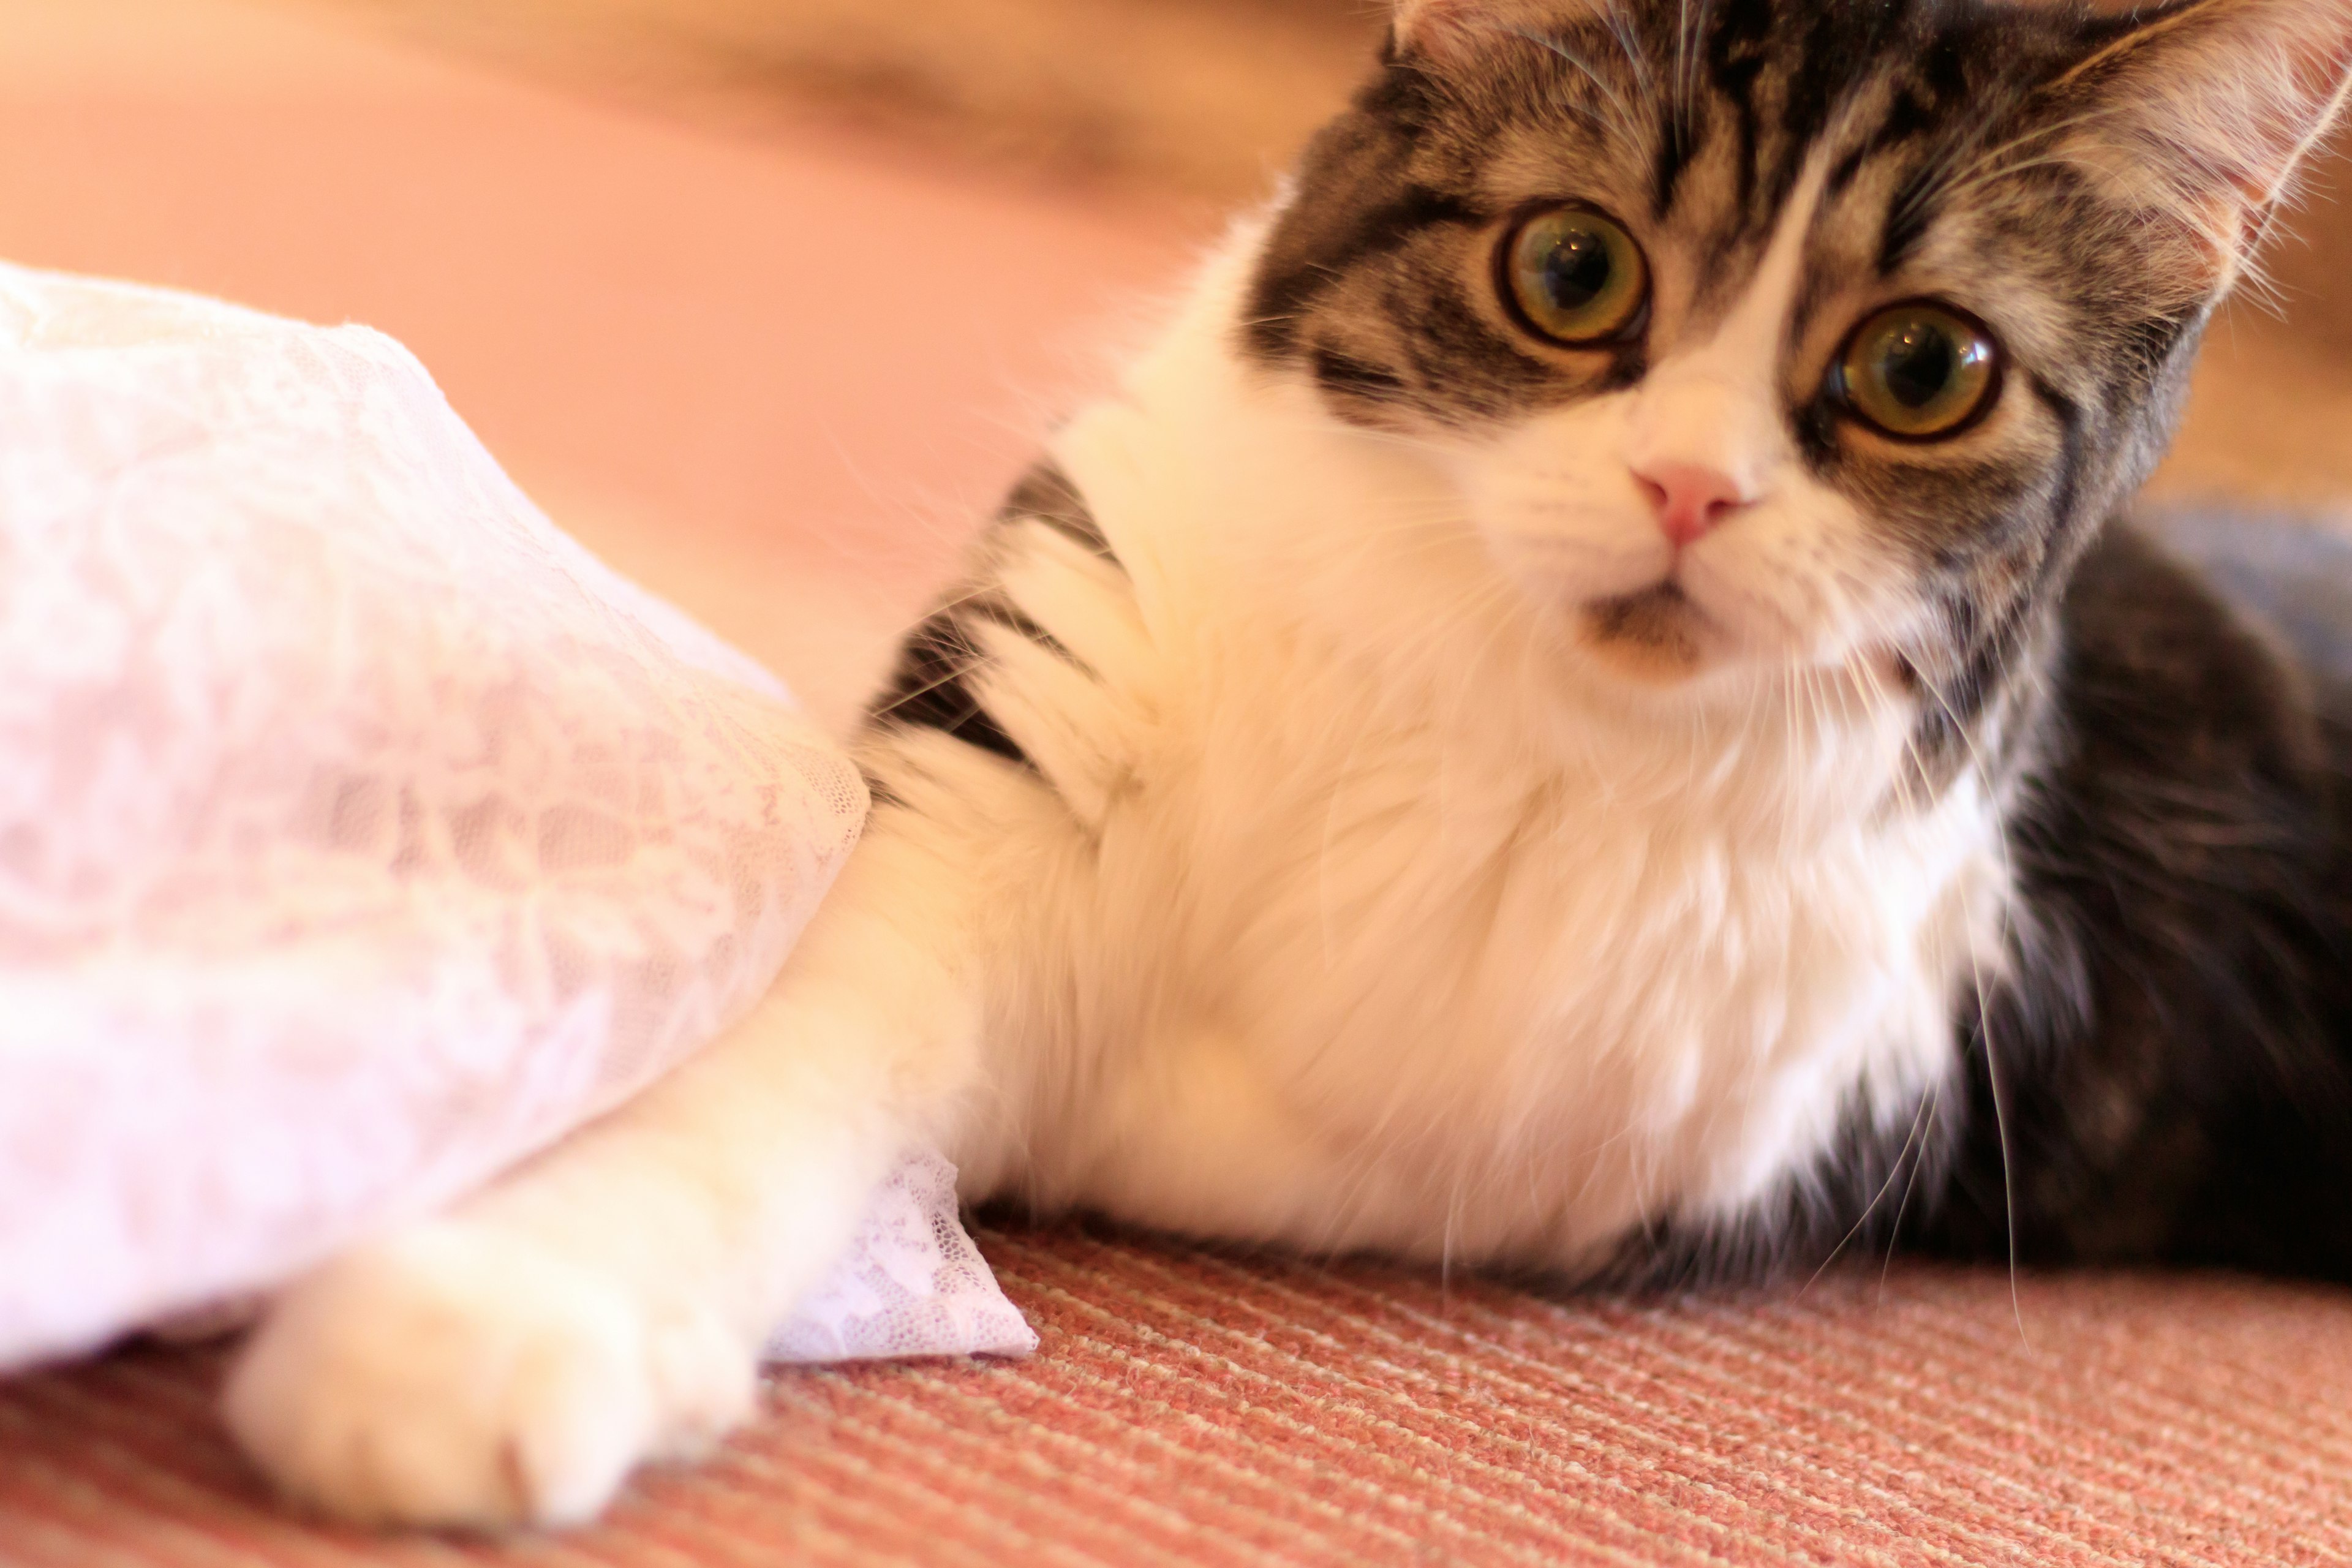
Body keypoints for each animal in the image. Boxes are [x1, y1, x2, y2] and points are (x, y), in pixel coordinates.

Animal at [216, 0, 2352, 1532]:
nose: (1690, 489)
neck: (1464, 687)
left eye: (1922, 372)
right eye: (1572, 272)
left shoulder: (1629, 1125)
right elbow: (764, 1075)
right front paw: (504, 1297)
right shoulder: (999, 787)